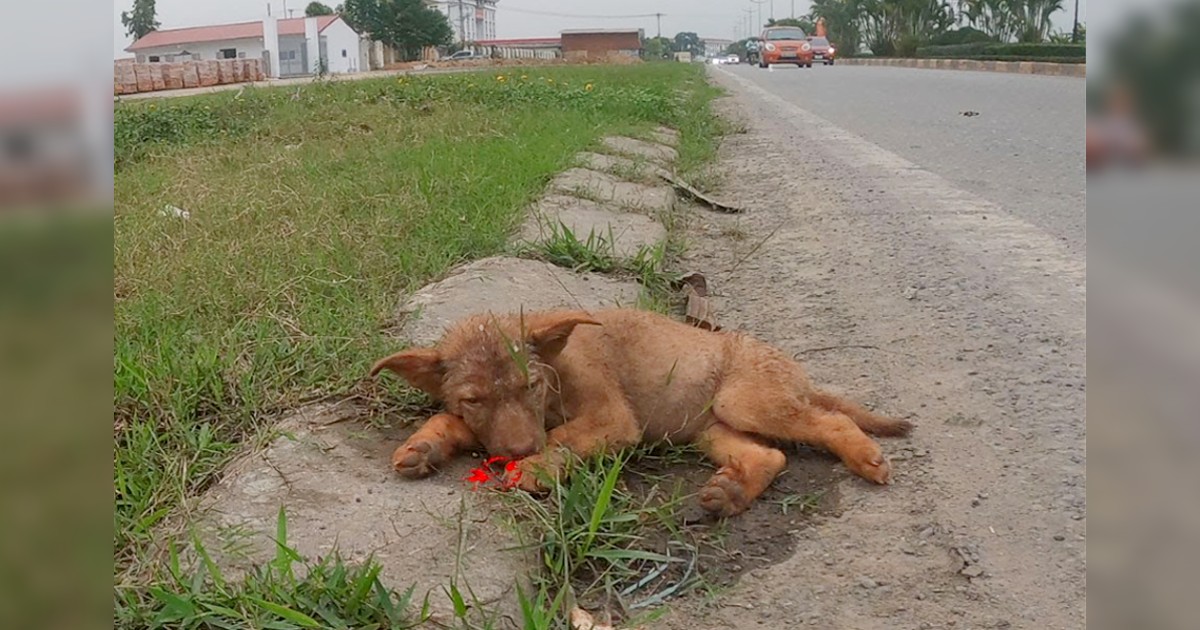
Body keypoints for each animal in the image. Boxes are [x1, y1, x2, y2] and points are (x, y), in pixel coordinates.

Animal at [374, 307, 907, 513]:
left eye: (532, 386)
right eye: (474, 399)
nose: (520, 451)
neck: (557, 379)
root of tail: (801, 375)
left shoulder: (613, 420)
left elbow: (566, 438)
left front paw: (539, 468)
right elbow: (451, 421)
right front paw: (424, 446)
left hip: (745, 400)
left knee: (832, 419)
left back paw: (866, 457)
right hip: (710, 428)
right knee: (771, 456)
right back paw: (732, 493)